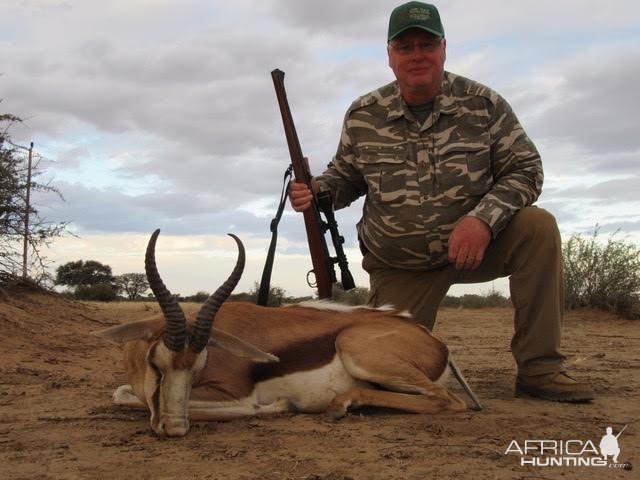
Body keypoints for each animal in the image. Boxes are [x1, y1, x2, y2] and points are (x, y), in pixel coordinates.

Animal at [94, 231, 464, 436]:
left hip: (358, 351)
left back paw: (340, 404)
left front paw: (280, 406)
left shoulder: (234, 394)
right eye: (157, 365)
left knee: (449, 401)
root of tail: (434, 342)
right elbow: (124, 395)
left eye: (199, 366)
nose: (173, 428)